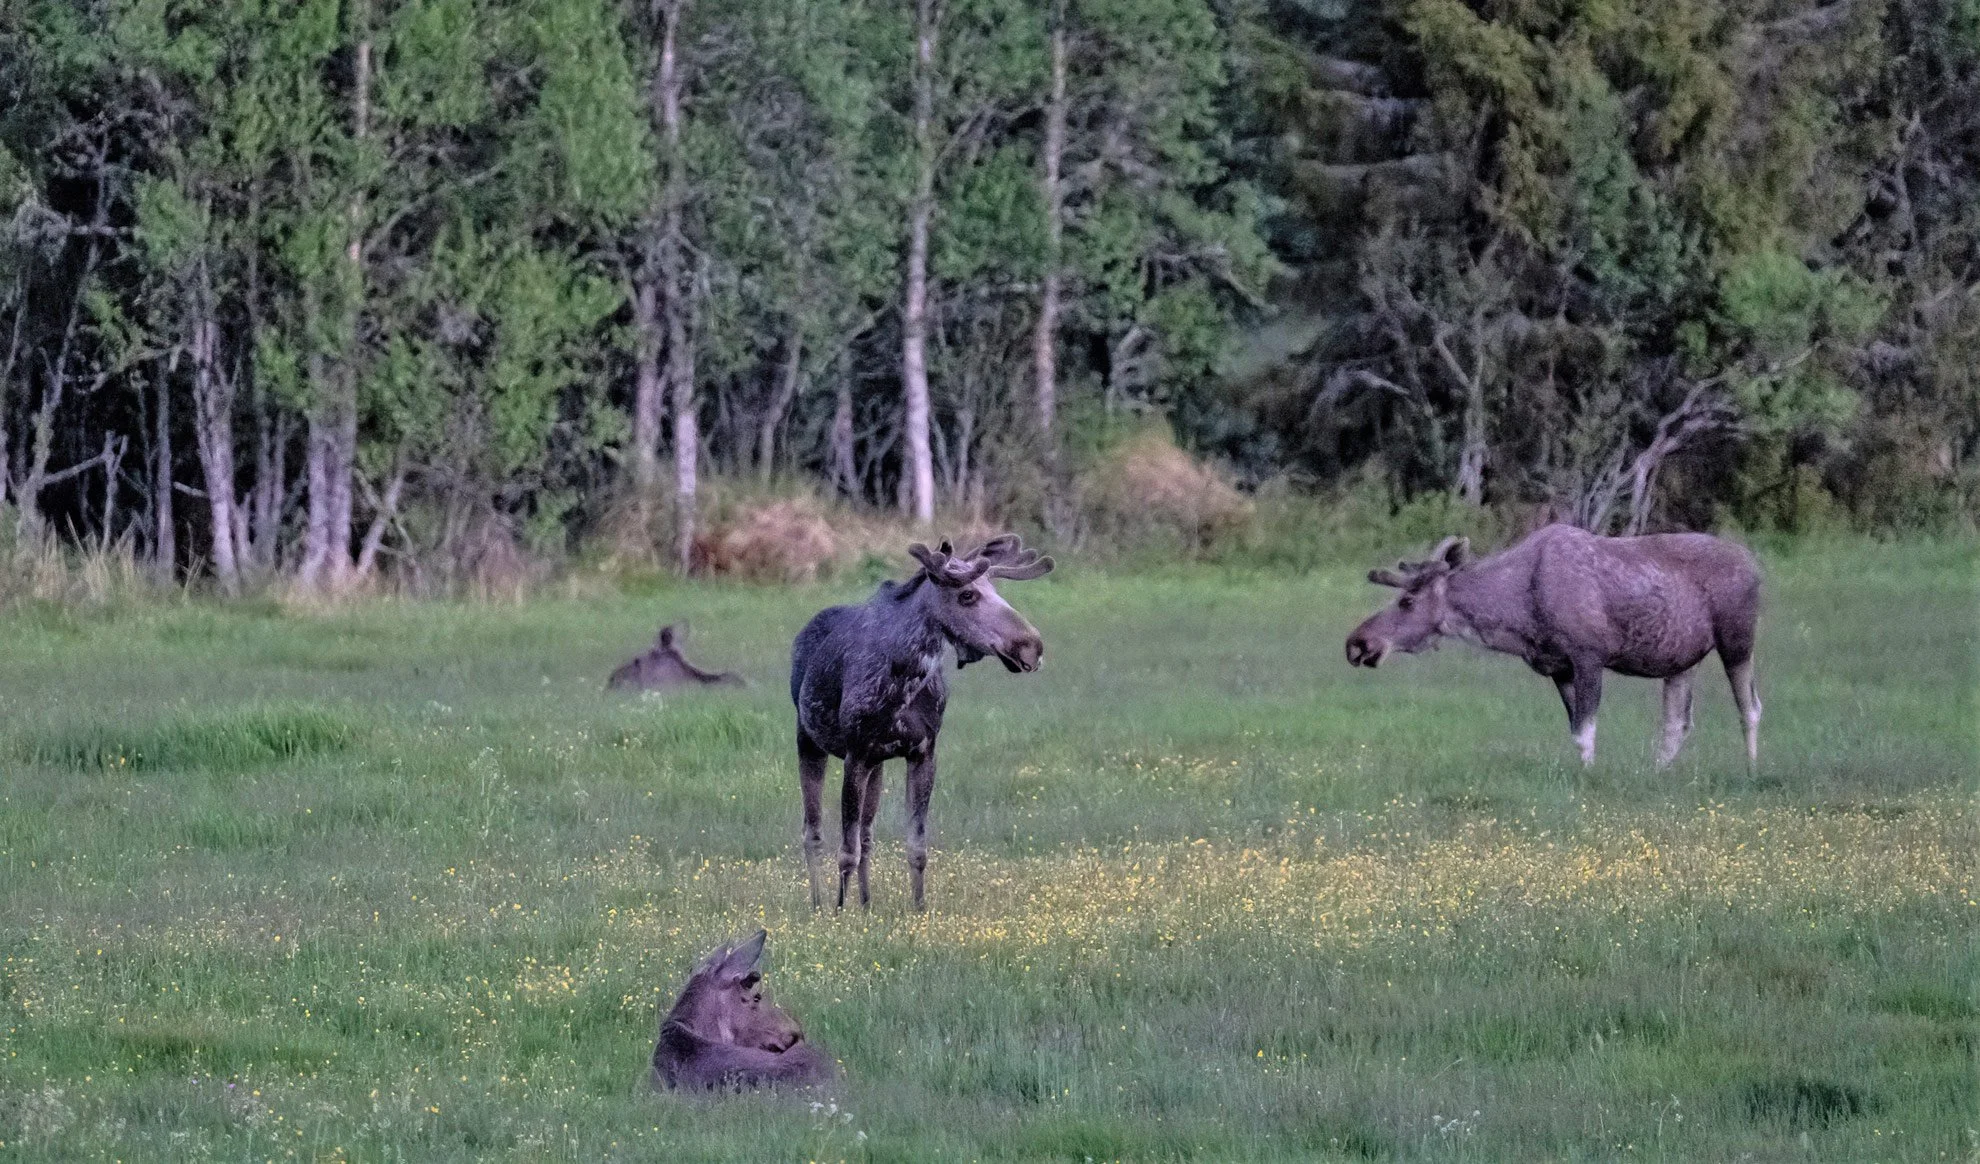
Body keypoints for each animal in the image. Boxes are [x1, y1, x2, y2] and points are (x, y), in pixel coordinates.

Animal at [790, 535, 1054, 911]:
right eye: (967, 595)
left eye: (995, 588)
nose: (1032, 646)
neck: (904, 682)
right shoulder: (856, 753)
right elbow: (846, 850)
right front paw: (840, 911)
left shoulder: (922, 752)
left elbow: (915, 845)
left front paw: (919, 908)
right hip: (808, 739)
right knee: (812, 833)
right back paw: (818, 905)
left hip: (877, 765)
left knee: (867, 836)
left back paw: (867, 904)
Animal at [1345, 524, 1763, 771]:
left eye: (1407, 601)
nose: (1357, 643)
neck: (1517, 614)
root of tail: (1756, 565)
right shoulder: (1559, 667)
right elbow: (1576, 732)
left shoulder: (1588, 656)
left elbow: (1587, 731)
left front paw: (1589, 778)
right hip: (1680, 662)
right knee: (1677, 723)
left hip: (1737, 640)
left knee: (1750, 707)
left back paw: (1751, 769)